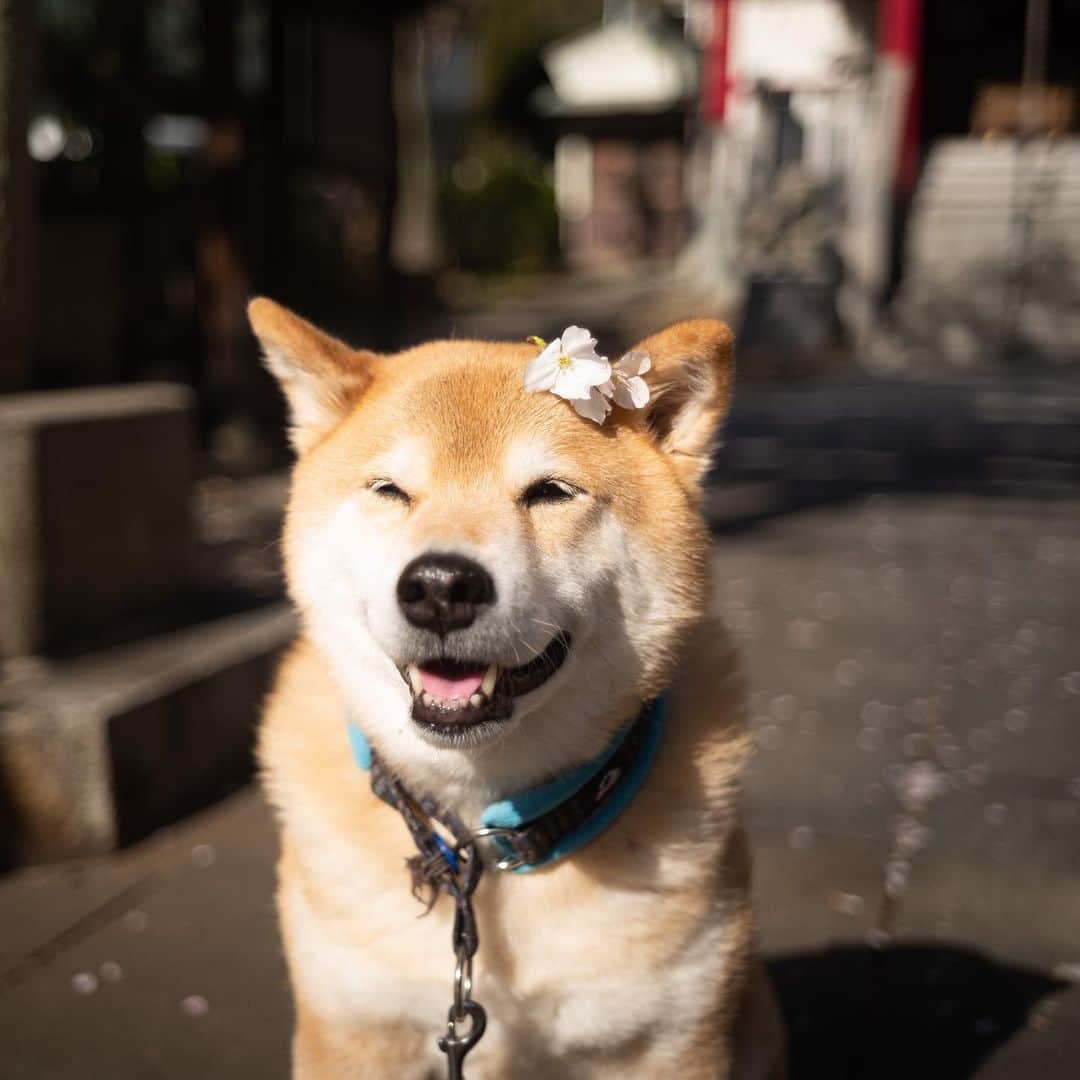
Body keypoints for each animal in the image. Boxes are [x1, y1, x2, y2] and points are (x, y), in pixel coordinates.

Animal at [252, 298, 786, 1080]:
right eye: (390, 491)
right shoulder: (351, 1028)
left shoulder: (672, 1043)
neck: (484, 844)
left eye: (549, 492)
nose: (440, 586)